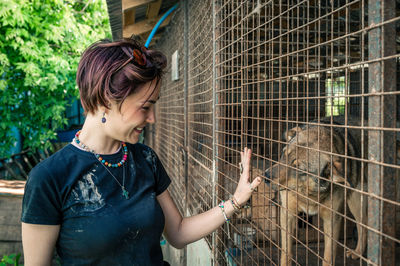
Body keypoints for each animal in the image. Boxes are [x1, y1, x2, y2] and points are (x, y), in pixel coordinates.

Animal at [262, 118, 368, 266]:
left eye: (298, 168)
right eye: (284, 154)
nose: (265, 176)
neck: (308, 194)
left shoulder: (332, 220)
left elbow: (328, 257)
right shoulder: (287, 213)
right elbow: (286, 252)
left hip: (355, 202)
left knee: (363, 225)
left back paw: (358, 252)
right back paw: (357, 253)